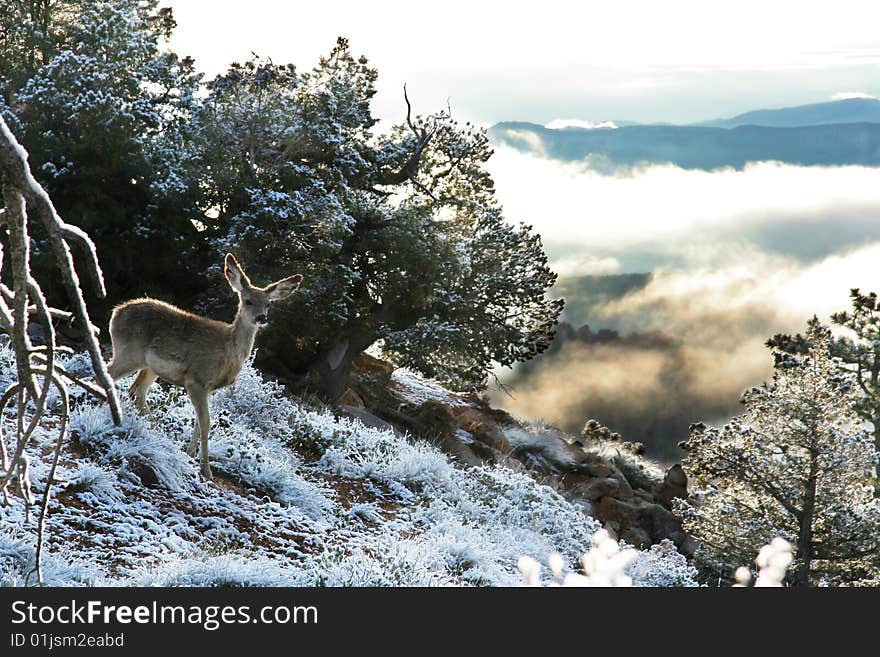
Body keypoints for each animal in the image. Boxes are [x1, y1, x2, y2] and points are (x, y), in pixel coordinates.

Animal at [104, 255, 300, 476]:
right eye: (248, 300)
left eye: (268, 304)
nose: (261, 318)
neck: (229, 352)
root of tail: (115, 312)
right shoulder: (196, 379)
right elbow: (206, 422)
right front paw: (206, 469)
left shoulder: (209, 388)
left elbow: (198, 421)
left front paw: (190, 454)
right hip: (129, 353)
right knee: (107, 375)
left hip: (150, 367)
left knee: (137, 392)